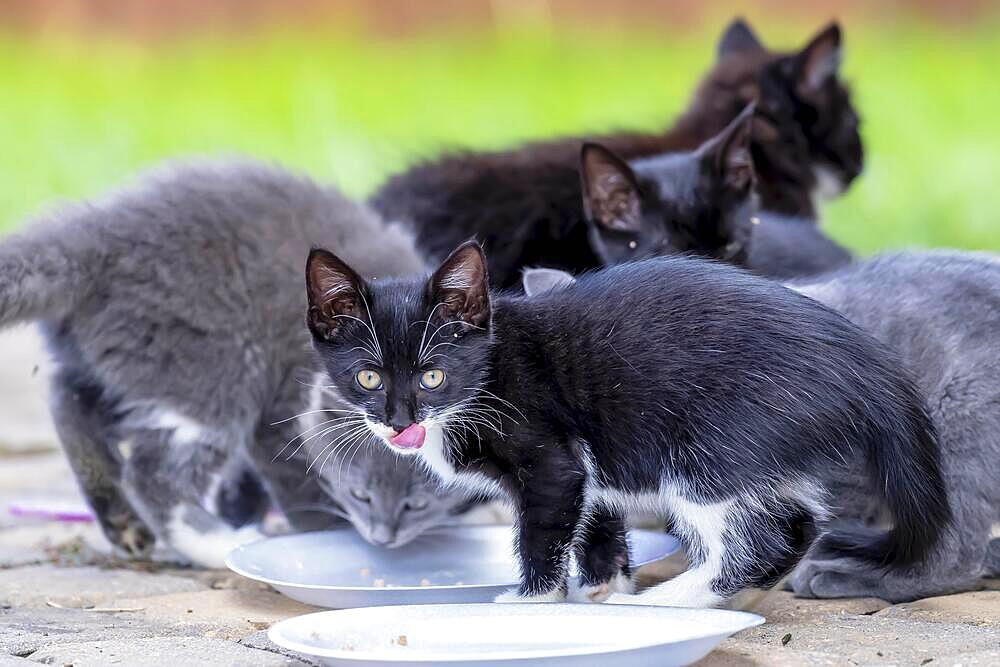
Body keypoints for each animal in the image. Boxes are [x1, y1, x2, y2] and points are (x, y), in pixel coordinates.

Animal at [0, 158, 428, 568]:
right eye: (368, 493)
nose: (387, 533)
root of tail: (97, 238)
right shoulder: (287, 405)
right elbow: (302, 478)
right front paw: (328, 537)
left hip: (125, 361)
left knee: (69, 403)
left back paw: (124, 523)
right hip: (212, 369)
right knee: (153, 472)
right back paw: (216, 544)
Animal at [302, 243, 944, 608]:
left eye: (433, 376)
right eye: (367, 378)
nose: (399, 423)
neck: (487, 370)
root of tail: (868, 362)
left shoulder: (549, 453)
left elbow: (546, 522)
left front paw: (533, 601)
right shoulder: (592, 462)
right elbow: (595, 511)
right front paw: (602, 584)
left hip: (708, 444)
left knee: (761, 535)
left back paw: (670, 601)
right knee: (799, 522)